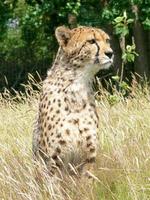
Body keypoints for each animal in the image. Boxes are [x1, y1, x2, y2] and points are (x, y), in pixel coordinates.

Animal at [32, 25, 112, 176]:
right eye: (91, 41)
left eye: (107, 40)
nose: (110, 53)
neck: (77, 85)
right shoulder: (54, 158)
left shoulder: (89, 155)